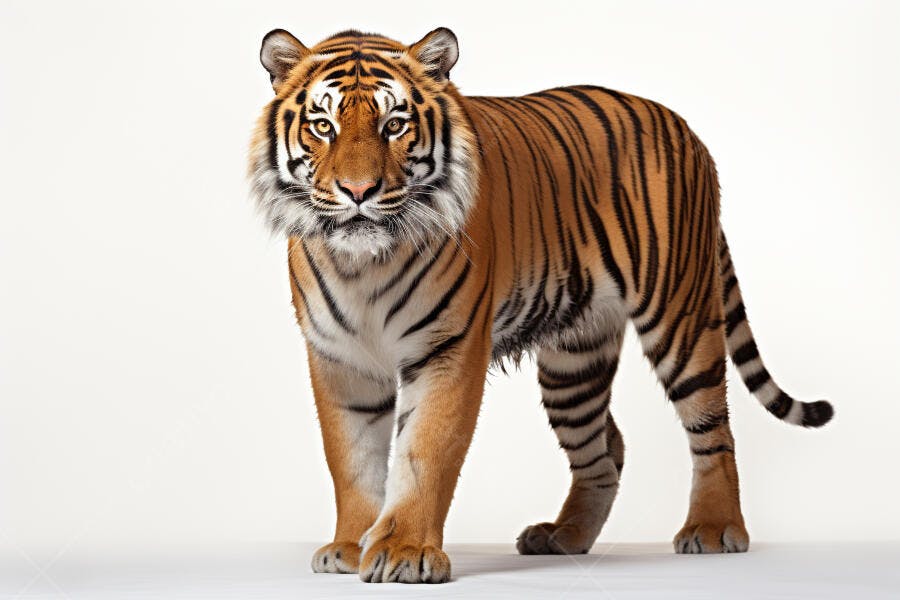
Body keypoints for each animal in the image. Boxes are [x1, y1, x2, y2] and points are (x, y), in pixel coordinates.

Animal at [248, 27, 834, 584]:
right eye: (323, 126)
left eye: (394, 125)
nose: (358, 190)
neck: (362, 264)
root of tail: (687, 130)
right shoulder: (339, 359)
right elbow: (351, 459)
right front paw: (351, 545)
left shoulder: (447, 349)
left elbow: (424, 452)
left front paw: (403, 552)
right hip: (575, 362)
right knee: (605, 452)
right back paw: (564, 536)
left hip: (680, 318)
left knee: (714, 430)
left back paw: (713, 528)